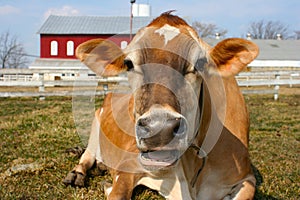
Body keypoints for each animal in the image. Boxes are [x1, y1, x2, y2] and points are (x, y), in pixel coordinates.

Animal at [62, 11, 258, 199]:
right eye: (128, 63)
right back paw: (77, 173)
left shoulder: (246, 178)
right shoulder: (128, 165)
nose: (160, 128)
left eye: (201, 63)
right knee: (87, 157)